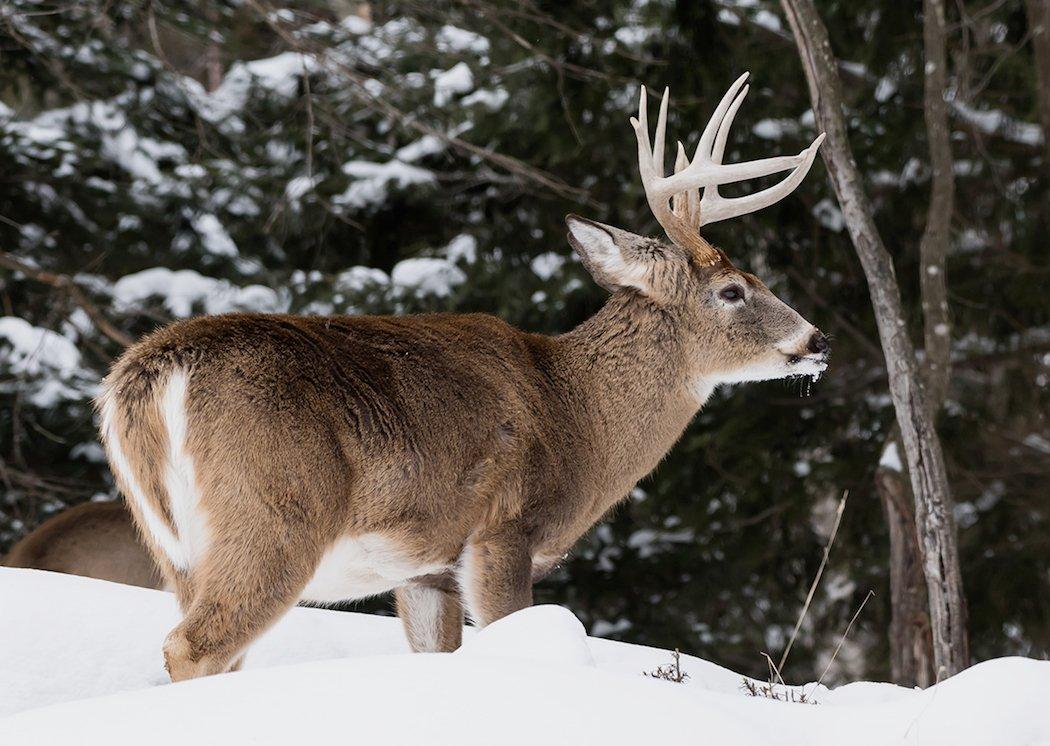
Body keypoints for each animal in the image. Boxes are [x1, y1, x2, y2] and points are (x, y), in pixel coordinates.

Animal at [97, 73, 828, 681]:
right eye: (733, 290)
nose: (818, 341)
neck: (578, 415)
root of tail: (148, 372)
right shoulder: (505, 530)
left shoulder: (428, 567)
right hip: (273, 514)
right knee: (193, 646)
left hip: (176, 549)